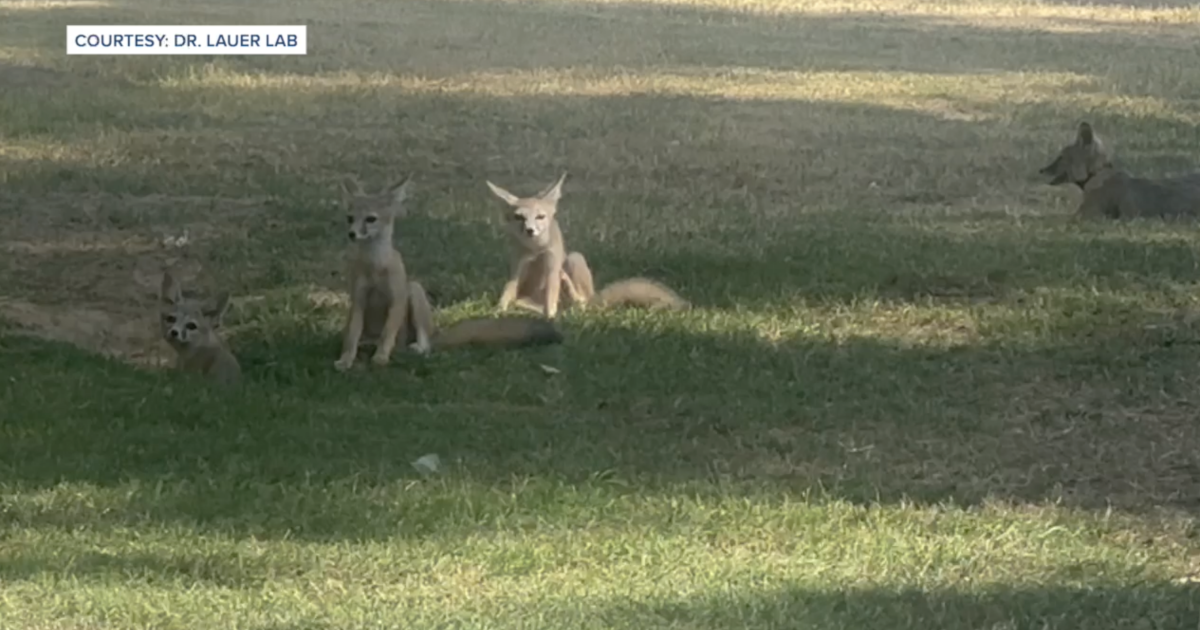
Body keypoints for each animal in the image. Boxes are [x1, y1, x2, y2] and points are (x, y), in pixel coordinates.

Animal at [484, 172, 689, 319]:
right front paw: (496, 312)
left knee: (580, 303)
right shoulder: (518, 268)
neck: (536, 250)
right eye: (519, 217)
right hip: (530, 296)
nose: (530, 230)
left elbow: (550, 299)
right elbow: (507, 294)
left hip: (574, 258)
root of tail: (595, 299)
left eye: (540, 217)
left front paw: (549, 317)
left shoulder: (552, 267)